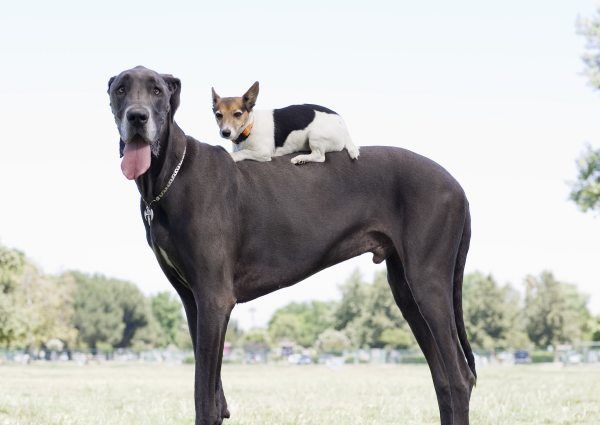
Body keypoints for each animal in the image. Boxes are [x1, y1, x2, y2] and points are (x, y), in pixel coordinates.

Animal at [212, 81, 358, 164]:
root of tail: (341, 121)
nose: (225, 132)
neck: (250, 127)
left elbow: (243, 152)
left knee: (320, 157)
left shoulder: (264, 153)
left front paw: (233, 156)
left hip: (315, 135)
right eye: (218, 115)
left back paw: (300, 159)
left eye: (237, 114)